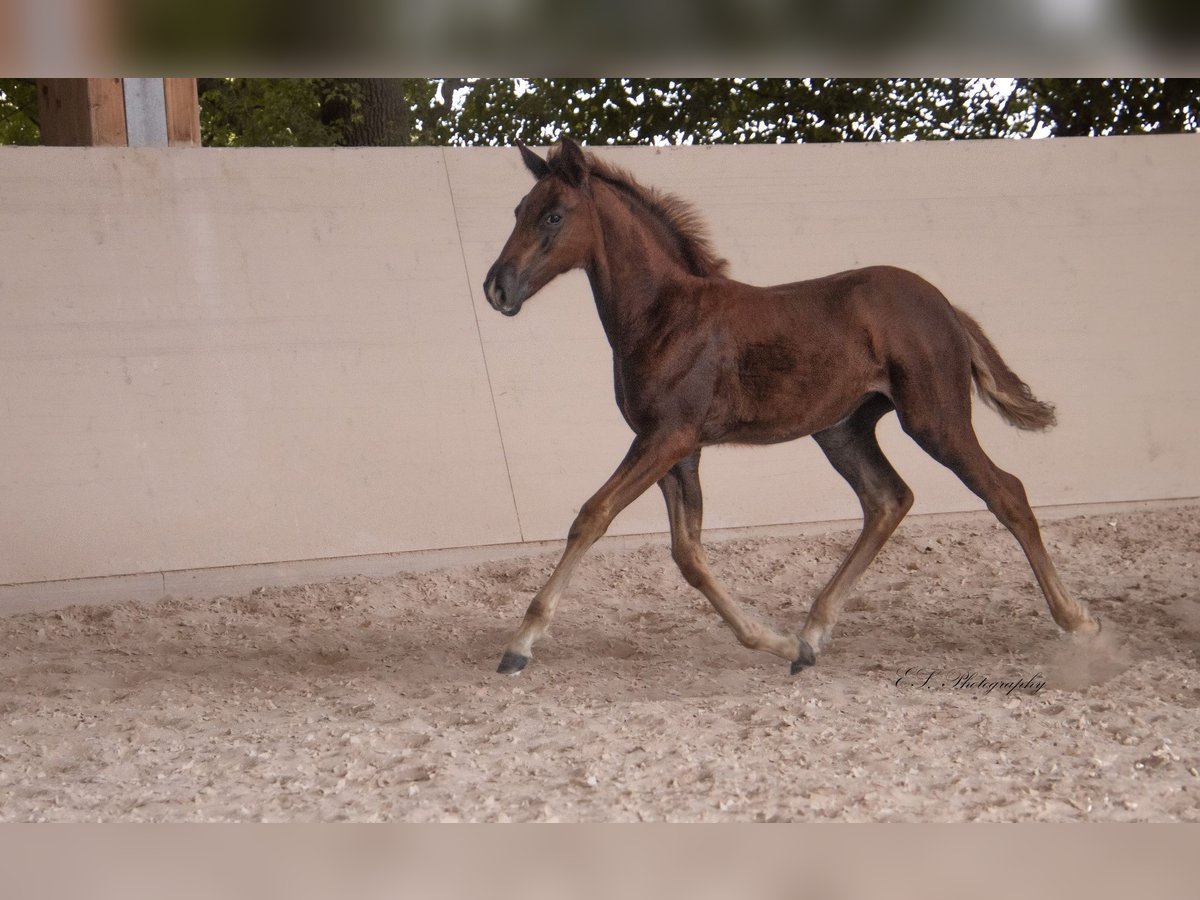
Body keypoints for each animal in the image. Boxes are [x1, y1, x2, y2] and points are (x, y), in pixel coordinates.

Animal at [480, 137, 1099, 676]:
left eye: (554, 215)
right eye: (517, 210)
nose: (496, 288)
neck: (665, 313)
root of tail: (947, 307)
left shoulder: (667, 437)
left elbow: (594, 515)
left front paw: (520, 644)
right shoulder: (676, 448)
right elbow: (688, 553)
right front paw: (778, 644)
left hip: (935, 419)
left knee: (1006, 492)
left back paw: (1078, 621)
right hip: (842, 430)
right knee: (888, 499)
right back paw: (812, 634)